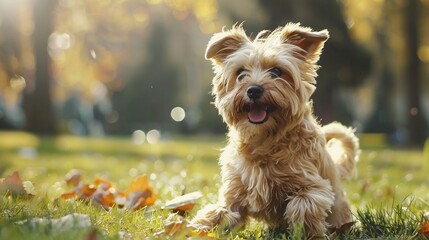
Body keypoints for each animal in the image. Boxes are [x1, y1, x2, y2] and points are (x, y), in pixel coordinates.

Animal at [191, 23, 358, 237]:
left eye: (277, 71)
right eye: (240, 73)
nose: (253, 90)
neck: (265, 139)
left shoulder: (314, 187)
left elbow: (302, 204)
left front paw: (303, 232)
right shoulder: (234, 191)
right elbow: (220, 211)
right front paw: (195, 228)